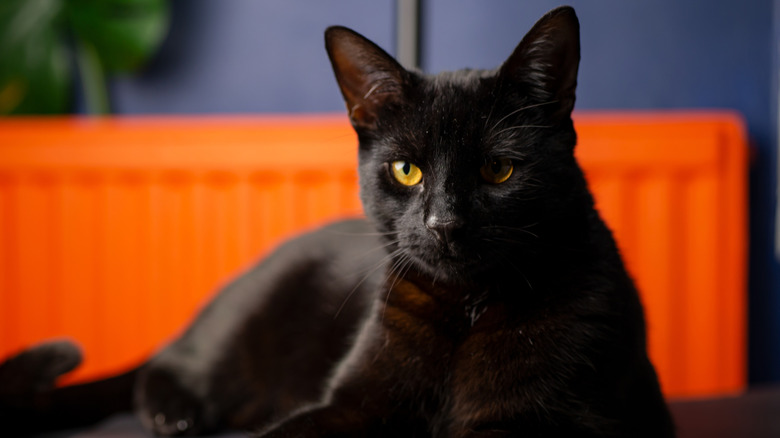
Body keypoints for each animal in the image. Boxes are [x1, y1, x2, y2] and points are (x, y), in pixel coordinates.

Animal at [0, 7, 676, 438]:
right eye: (407, 170)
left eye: (498, 169)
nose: (444, 223)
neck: (467, 307)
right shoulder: (352, 400)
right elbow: (290, 433)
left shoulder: (550, 419)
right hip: (240, 322)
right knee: (164, 364)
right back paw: (174, 412)